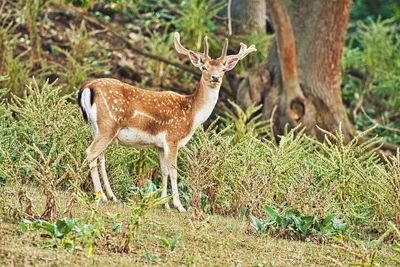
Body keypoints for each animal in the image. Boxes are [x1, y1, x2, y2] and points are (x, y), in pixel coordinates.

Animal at [76, 32, 256, 213]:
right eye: (203, 67)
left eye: (223, 69)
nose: (215, 77)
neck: (192, 115)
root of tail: (87, 87)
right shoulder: (172, 138)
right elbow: (174, 171)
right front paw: (179, 205)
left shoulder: (160, 145)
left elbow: (164, 171)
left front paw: (164, 203)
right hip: (108, 125)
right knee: (91, 153)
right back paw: (97, 195)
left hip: (97, 128)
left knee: (100, 157)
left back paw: (109, 195)